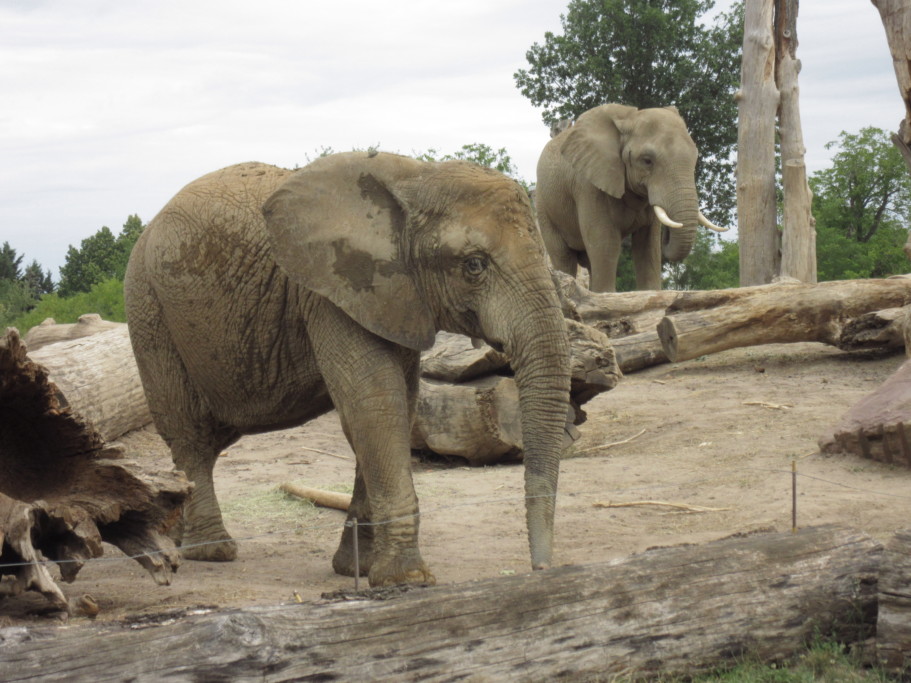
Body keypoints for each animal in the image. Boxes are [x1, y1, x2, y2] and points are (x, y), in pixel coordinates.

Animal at [123, 151, 568, 588]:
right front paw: (406, 579)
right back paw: (211, 551)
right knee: (190, 434)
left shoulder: (392, 296)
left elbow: (398, 405)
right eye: (474, 264)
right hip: (148, 309)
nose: (541, 569)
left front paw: (358, 568)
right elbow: (375, 402)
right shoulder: (330, 291)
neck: (416, 177)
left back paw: (176, 538)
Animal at [536, 103, 728, 292]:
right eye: (647, 161)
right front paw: (607, 295)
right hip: (544, 208)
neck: (629, 119)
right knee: (563, 257)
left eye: (695, 158)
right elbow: (605, 242)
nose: (669, 232)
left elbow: (648, 245)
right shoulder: (589, 185)